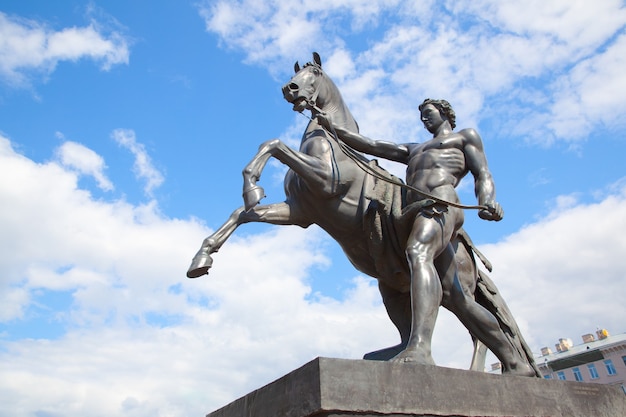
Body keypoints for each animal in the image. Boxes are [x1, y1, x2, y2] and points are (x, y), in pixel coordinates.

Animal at [188, 52, 540, 376]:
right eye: (296, 73)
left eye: (314, 72)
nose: (290, 88)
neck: (331, 145)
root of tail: (465, 244)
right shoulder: (299, 212)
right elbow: (243, 213)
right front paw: (202, 257)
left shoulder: (326, 182)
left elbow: (274, 144)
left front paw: (252, 184)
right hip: (399, 282)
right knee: (452, 315)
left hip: (445, 262)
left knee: (472, 323)